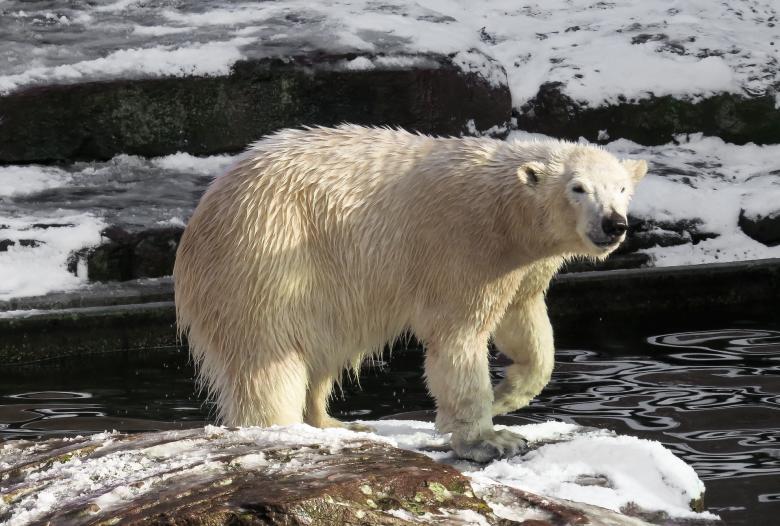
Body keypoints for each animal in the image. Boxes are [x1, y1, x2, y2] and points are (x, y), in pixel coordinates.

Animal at [174, 125, 647, 462]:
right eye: (578, 188)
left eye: (622, 188)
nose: (614, 223)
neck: (505, 213)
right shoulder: (462, 248)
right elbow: (458, 338)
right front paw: (491, 439)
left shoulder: (521, 266)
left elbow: (523, 323)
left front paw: (505, 396)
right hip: (268, 260)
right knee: (269, 362)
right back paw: (280, 428)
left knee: (323, 350)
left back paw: (334, 423)